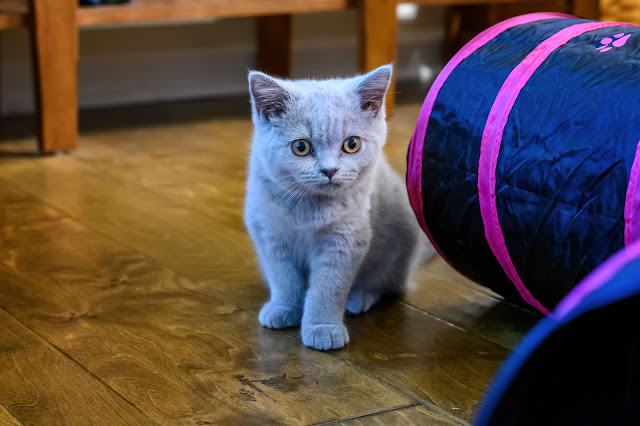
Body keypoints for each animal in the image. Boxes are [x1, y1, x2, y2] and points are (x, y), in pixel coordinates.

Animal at [245, 64, 436, 350]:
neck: (309, 209)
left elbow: (328, 287)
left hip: (399, 244)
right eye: (301, 147)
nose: (330, 170)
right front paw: (284, 308)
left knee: (387, 285)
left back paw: (359, 298)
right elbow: (284, 278)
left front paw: (322, 327)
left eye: (352, 144)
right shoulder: (269, 235)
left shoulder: (345, 240)